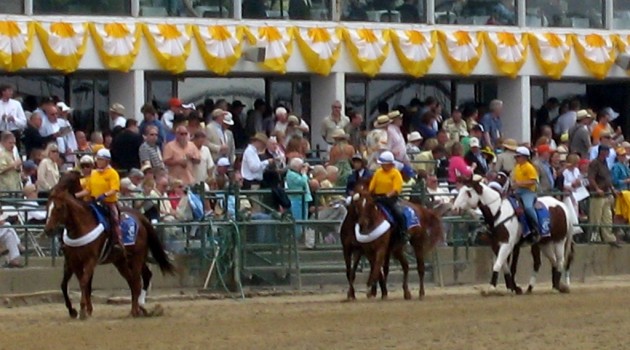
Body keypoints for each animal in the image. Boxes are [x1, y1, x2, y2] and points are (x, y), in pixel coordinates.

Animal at [43, 171, 175, 318]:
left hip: (137, 257)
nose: (48, 230)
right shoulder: (73, 261)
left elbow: (84, 282)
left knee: (137, 281)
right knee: (135, 280)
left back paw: (137, 309)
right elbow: (71, 284)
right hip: (122, 261)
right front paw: (76, 310)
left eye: (58, 208)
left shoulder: (90, 260)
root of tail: (141, 218)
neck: (82, 226)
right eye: (47, 206)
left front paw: (83, 310)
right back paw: (138, 309)